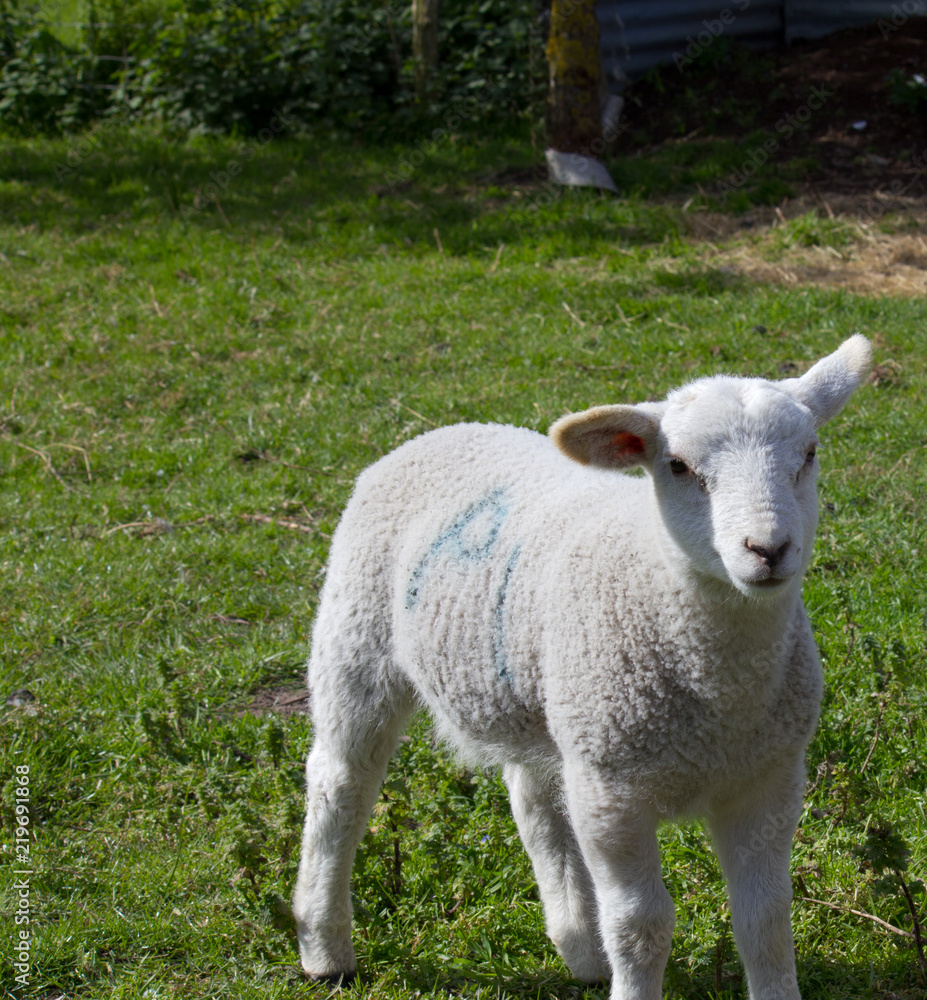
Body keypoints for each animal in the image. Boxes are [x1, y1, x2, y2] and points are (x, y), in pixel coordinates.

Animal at [292, 335, 872, 1000]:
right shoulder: (609, 792)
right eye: (678, 466)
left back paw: (582, 947)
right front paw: (632, 979)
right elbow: (643, 924)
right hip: (356, 636)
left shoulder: (769, 778)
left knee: (534, 800)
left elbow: (766, 916)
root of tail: (445, 430)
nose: (768, 550)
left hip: (540, 696)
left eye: (810, 454)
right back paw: (325, 947)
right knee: (340, 784)